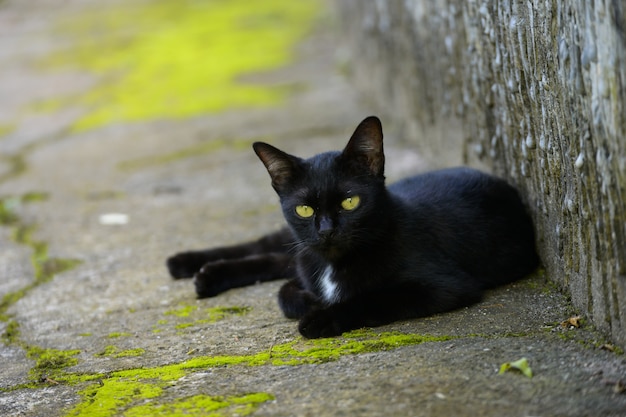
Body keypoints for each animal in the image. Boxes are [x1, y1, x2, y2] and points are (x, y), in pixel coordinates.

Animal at [166, 115, 536, 336]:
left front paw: (320, 316)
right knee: (265, 249)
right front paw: (314, 304)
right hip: (297, 244)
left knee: (275, 261)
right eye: (304, 209)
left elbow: (373, 299)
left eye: (349, 202)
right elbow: (286, 292)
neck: (333, 265)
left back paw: (204, 274)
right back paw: (188, 265)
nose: (326, 230)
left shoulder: (445, 285)